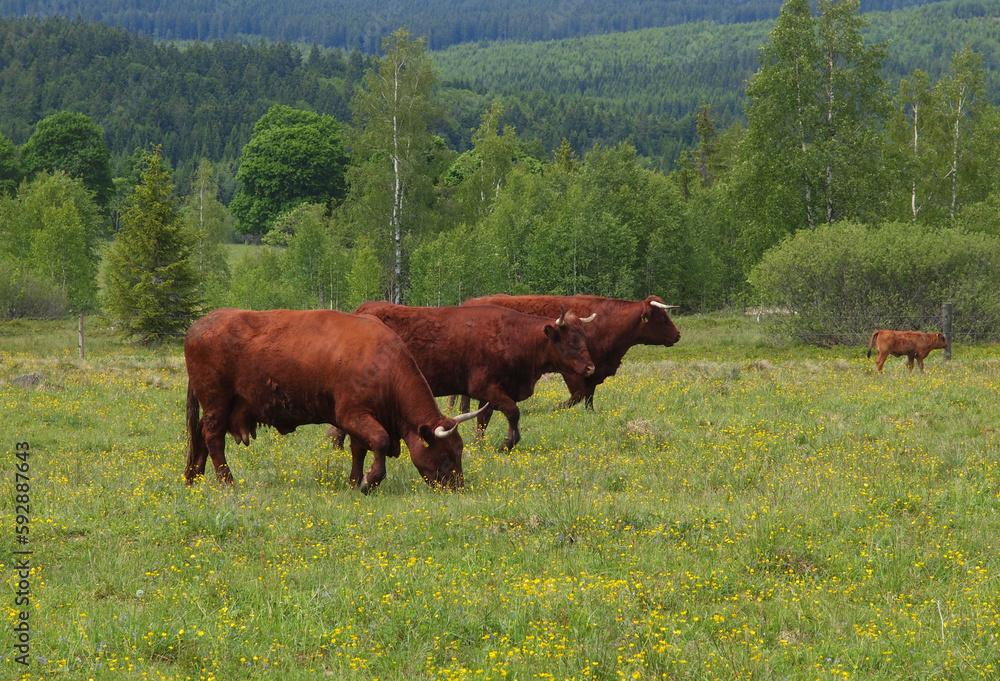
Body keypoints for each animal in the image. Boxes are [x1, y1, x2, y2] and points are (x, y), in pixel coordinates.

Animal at [184, 308, 486, 493]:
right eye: (446, 456)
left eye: (459, 451)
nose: (458, 487)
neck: (384, 363)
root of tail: (198, 325)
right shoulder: (352, 416)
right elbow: (379, 442)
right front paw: (368, 482)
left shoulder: (359, 421)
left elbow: (359, 449)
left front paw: (354, 481)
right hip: (216, 404)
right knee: (213, 438)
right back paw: (226, 481)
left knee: (199, 435)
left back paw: (193, 477)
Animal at [336, 302, 596, 450]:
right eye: (571, 342)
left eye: (584, 337)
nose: (591, 367)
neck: (512, 337)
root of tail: (362, 311)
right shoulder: (485, 388)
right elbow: (513, 411)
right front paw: (508, 442)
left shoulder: (491, 393)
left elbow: (484, 418)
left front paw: (480, 445)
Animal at [461, 294, 680, 410]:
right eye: (661, 318)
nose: (678, 335)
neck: (606, 322)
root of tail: (468, 303)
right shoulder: (572, 372)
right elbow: (577, 396)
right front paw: (553, 408)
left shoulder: (593, 372)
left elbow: (588, 399)